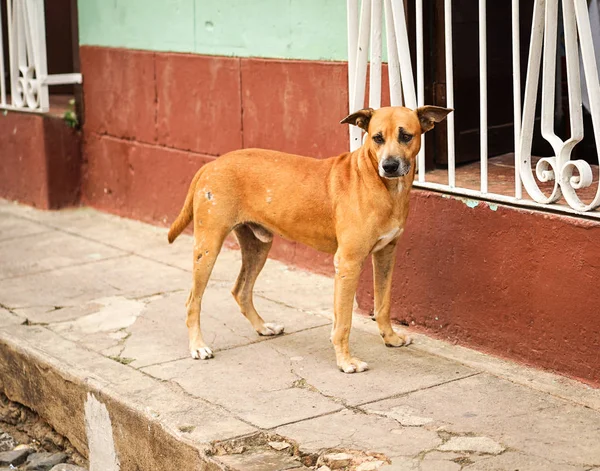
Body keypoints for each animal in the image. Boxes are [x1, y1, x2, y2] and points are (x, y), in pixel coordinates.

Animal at [168, 105, 450, 374]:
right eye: (377, 137)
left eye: (406, 136)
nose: (389, 166)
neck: (379, 183)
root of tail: (211, 164)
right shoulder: (348, 263)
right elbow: (344, 321)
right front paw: (346, 362)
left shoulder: (386, 255)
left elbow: (383, 303)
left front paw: (390, 338)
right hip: (208, 246)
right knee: (193, 301)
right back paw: (198, 346)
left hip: (258, 246)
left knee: (241, 291)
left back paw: (263, 327)